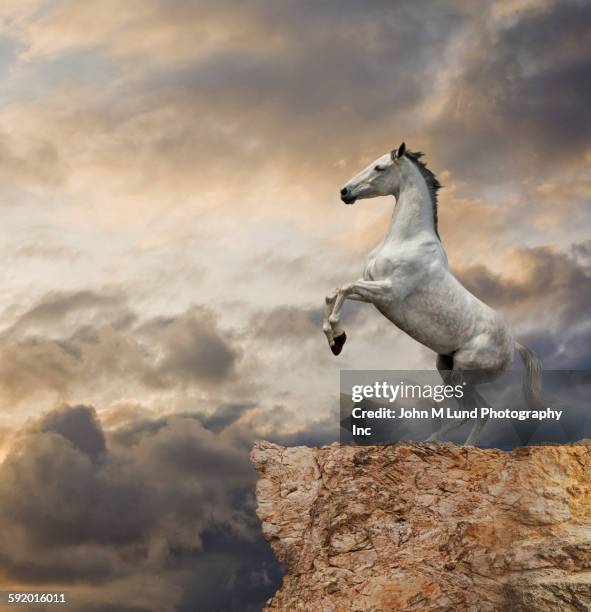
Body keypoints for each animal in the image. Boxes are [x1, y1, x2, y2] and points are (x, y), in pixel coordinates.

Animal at [324, 143, 544, 444]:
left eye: (379, 167)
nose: (344, 192)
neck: (406, 240)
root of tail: (514, 346)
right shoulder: (372, 291)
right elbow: (334, 293)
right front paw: (335, 340)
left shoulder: (388, 293)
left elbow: (344, 289)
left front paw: (338, 339)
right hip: (446, 366)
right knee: (477, 412)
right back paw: (438, 443)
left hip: (463, 371)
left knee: (475, 411)